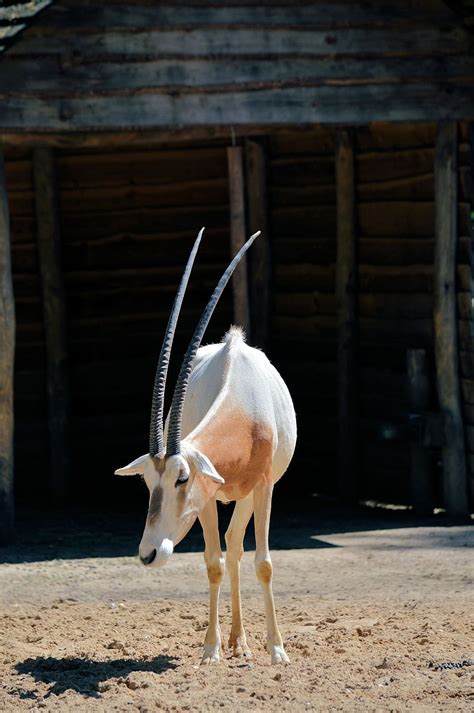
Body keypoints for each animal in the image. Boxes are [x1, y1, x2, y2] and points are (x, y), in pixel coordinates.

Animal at [115, 228, 296, 660]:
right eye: (147, 481)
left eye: (181, 478)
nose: (149, 554)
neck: (244, 406)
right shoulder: (209, 497)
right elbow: (213, 561)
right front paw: (211, 649)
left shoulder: (263, 487)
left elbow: (264, 563)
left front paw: (277, 649)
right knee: (229, 548)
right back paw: (236, 640)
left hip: (248, 494)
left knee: (238, 547)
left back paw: (245, 643)